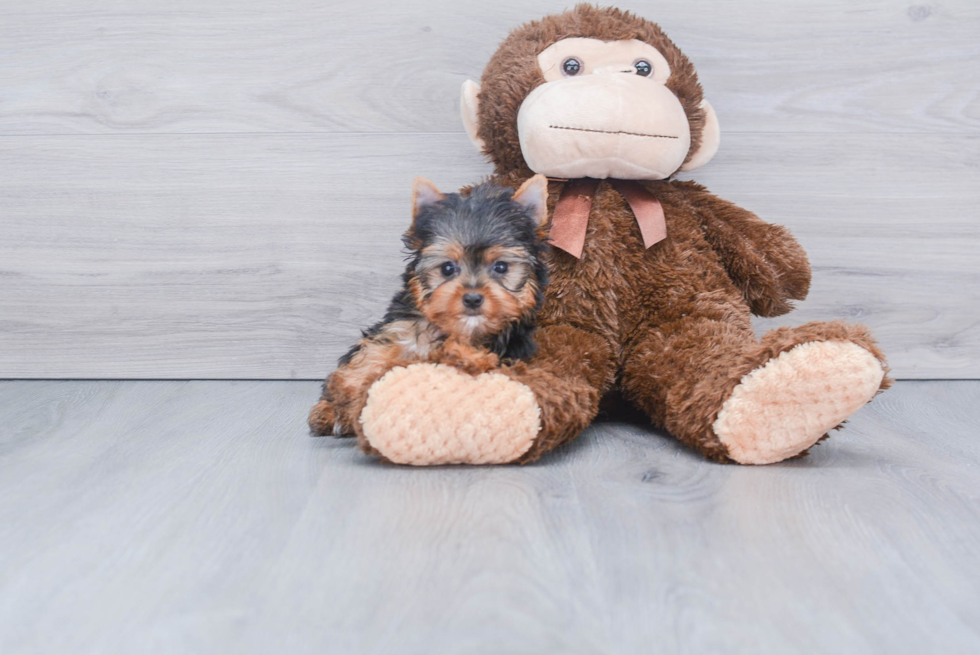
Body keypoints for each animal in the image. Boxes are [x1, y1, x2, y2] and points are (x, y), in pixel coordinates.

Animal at [308, 176, 552, 440]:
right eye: (447, 268)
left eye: (501, 267)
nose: (473, 298)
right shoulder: (400, 328)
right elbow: (374, 353)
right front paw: (346, 387)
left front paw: (463, 356)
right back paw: (326, 413)